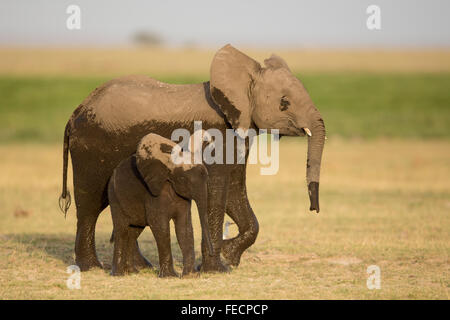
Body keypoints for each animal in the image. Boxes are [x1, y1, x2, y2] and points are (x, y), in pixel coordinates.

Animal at [109, 132, 214, 278]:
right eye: (183, 179)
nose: (212, 253)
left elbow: (184, 227)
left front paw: (190, 276)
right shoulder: (153, 194)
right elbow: (160, 225)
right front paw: (170, 276)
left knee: (134, 231)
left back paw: (132, 272)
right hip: (115, 196)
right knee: (122, 230)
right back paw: (118, 274)